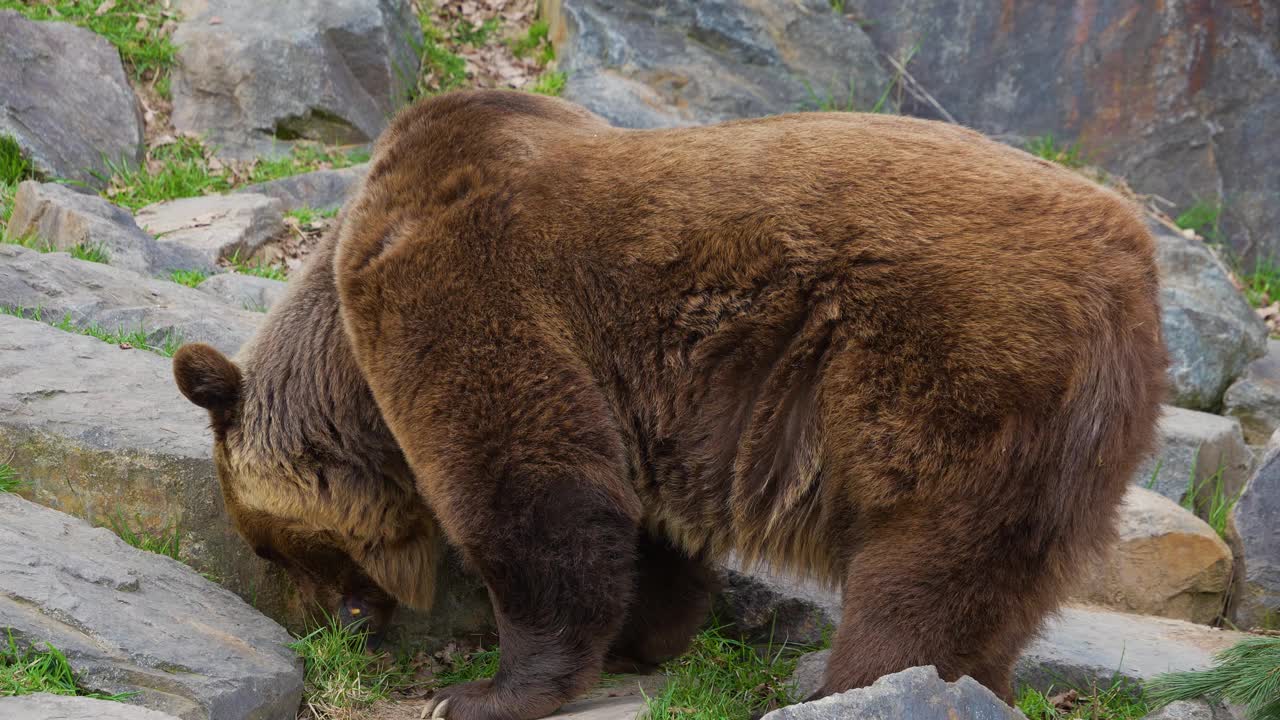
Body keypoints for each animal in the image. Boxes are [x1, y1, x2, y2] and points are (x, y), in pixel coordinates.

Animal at [172, 89, 1172, 717]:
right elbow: (634, 517)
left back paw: (853, 688)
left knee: (924, 571)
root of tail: (1134, 268)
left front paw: (485, 691)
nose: (332, 628)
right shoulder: (642, 404)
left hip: (958, 370)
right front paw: (641, 638)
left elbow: (530, 489)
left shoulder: (461, 277)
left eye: (274, 545)